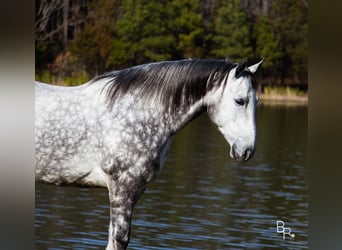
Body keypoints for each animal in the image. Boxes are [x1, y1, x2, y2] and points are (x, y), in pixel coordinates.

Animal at [35, 58, 262, 248]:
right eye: (239, 101)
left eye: (257, 101)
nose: (247, 150)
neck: (138, 113)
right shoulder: (122, 187)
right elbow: (119, 240)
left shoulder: (135, 190)